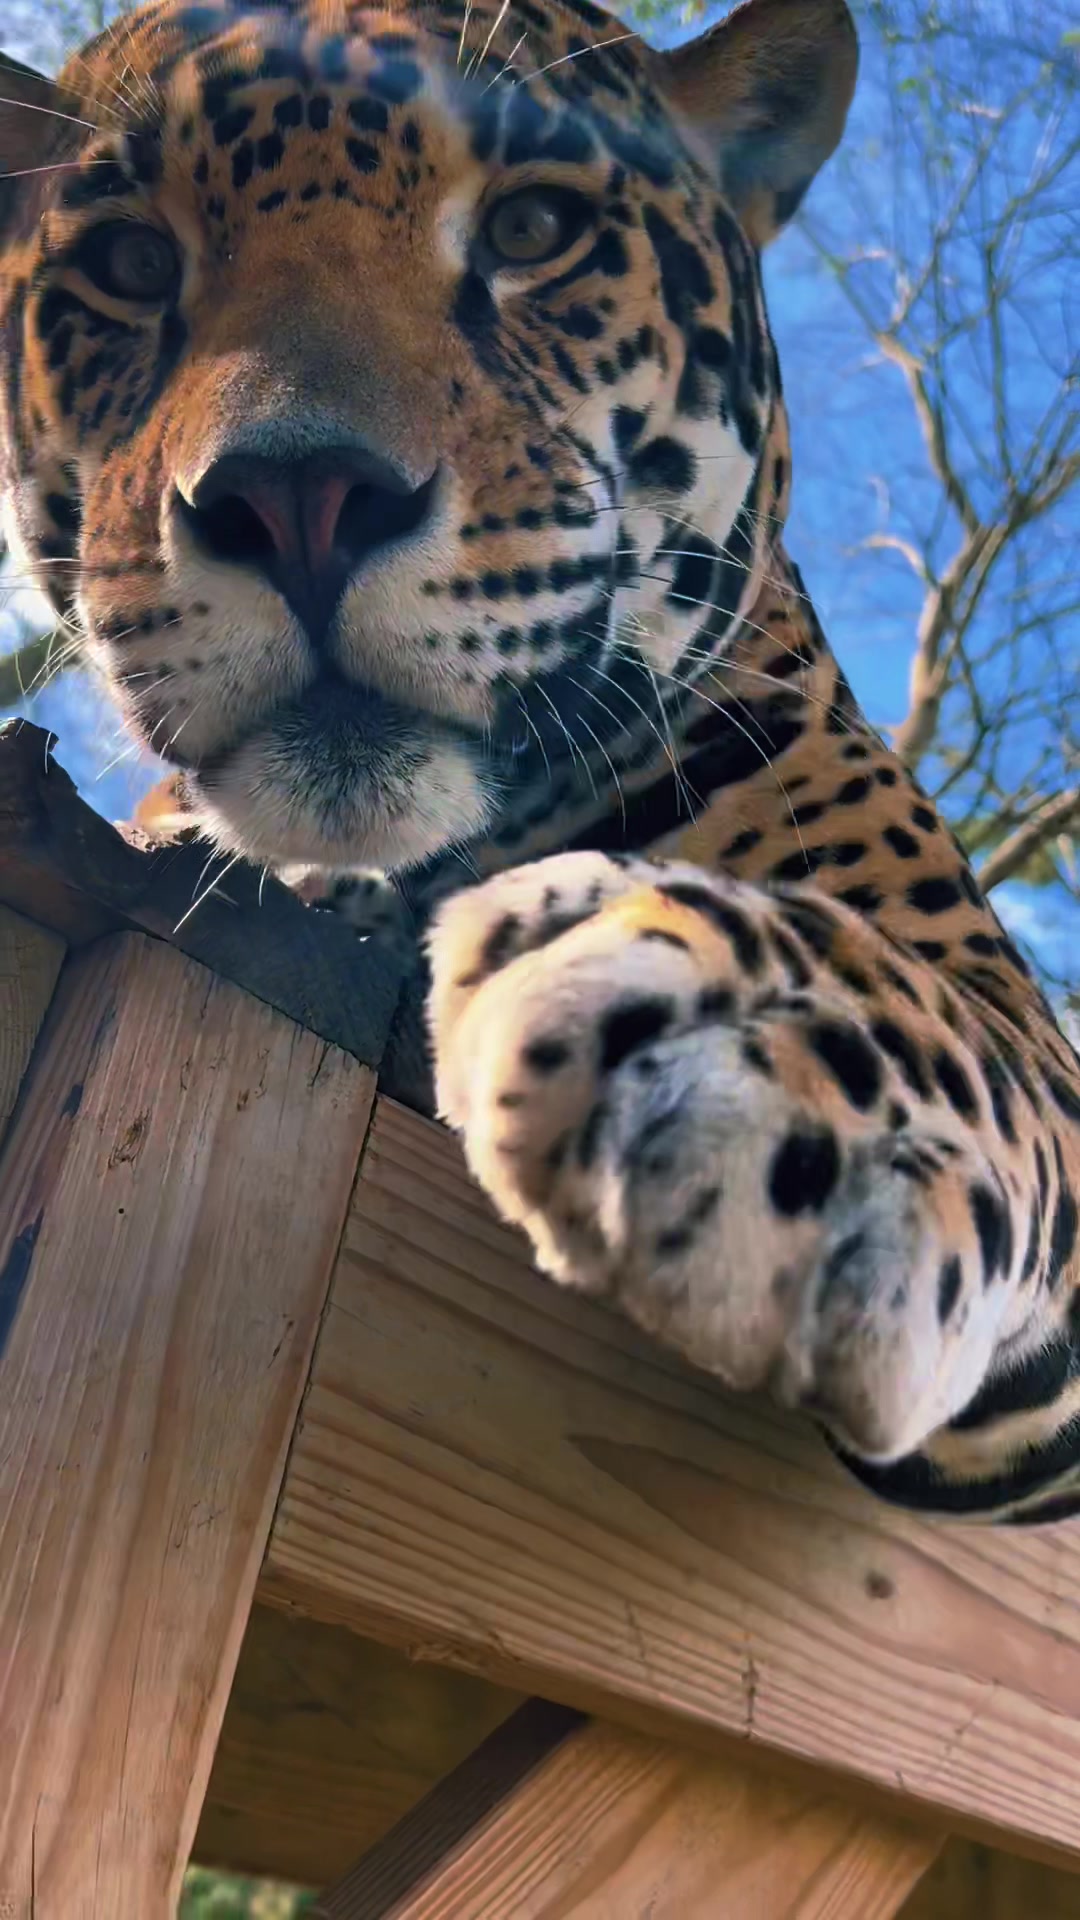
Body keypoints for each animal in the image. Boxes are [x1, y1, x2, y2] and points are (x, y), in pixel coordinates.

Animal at [3, 0, 1080, 1523]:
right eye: (130, 263)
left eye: (533, 229)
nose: (296, 496)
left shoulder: (1003, 1016)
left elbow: (933, 1025)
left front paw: (733, 1072)